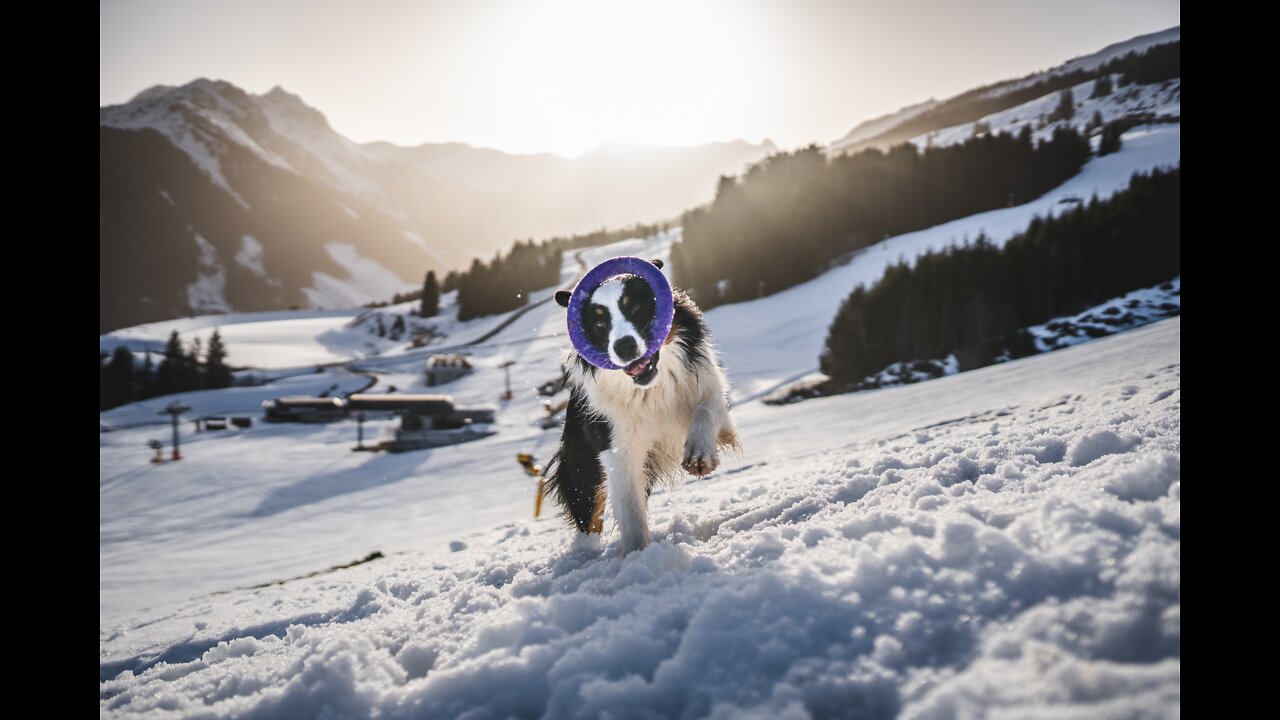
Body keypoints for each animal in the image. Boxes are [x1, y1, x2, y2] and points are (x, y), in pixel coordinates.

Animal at [542, 260, 742, 550]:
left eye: (635, 308)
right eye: (599, 322)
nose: (624, 346)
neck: (650, 389)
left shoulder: (712, 395)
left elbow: (705, 410)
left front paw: (699, 456)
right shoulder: (617, 449)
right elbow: (630, 511)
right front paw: (638, 552)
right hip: (583, 468)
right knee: (590, 518)